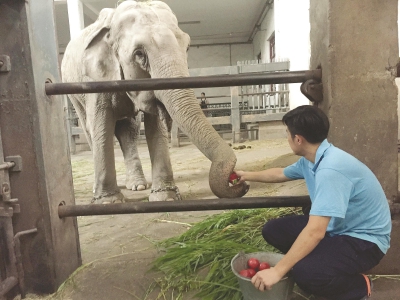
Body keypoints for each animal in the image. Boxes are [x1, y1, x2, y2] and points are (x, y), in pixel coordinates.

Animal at [60, 0, 248, 203]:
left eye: (187, 47)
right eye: (139, 54)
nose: (240, 182)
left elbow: (155, 123)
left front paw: (165, 197)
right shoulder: (95, 77)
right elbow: (101, 125)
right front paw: (109, 201)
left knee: (130, 130)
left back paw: (137, 185)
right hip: (73, 91)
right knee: (90, 128)